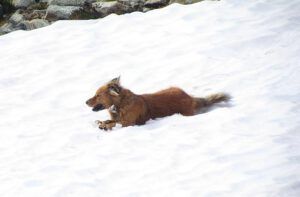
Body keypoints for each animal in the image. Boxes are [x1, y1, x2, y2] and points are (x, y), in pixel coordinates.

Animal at [85, 77, 231, 131]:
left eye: (97, 95)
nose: (85, 102)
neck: (120, 104)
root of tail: (190, 97)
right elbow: (109, 120)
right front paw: (102, 123)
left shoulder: (129, 124)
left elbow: (115, 122)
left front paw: (105, 125)